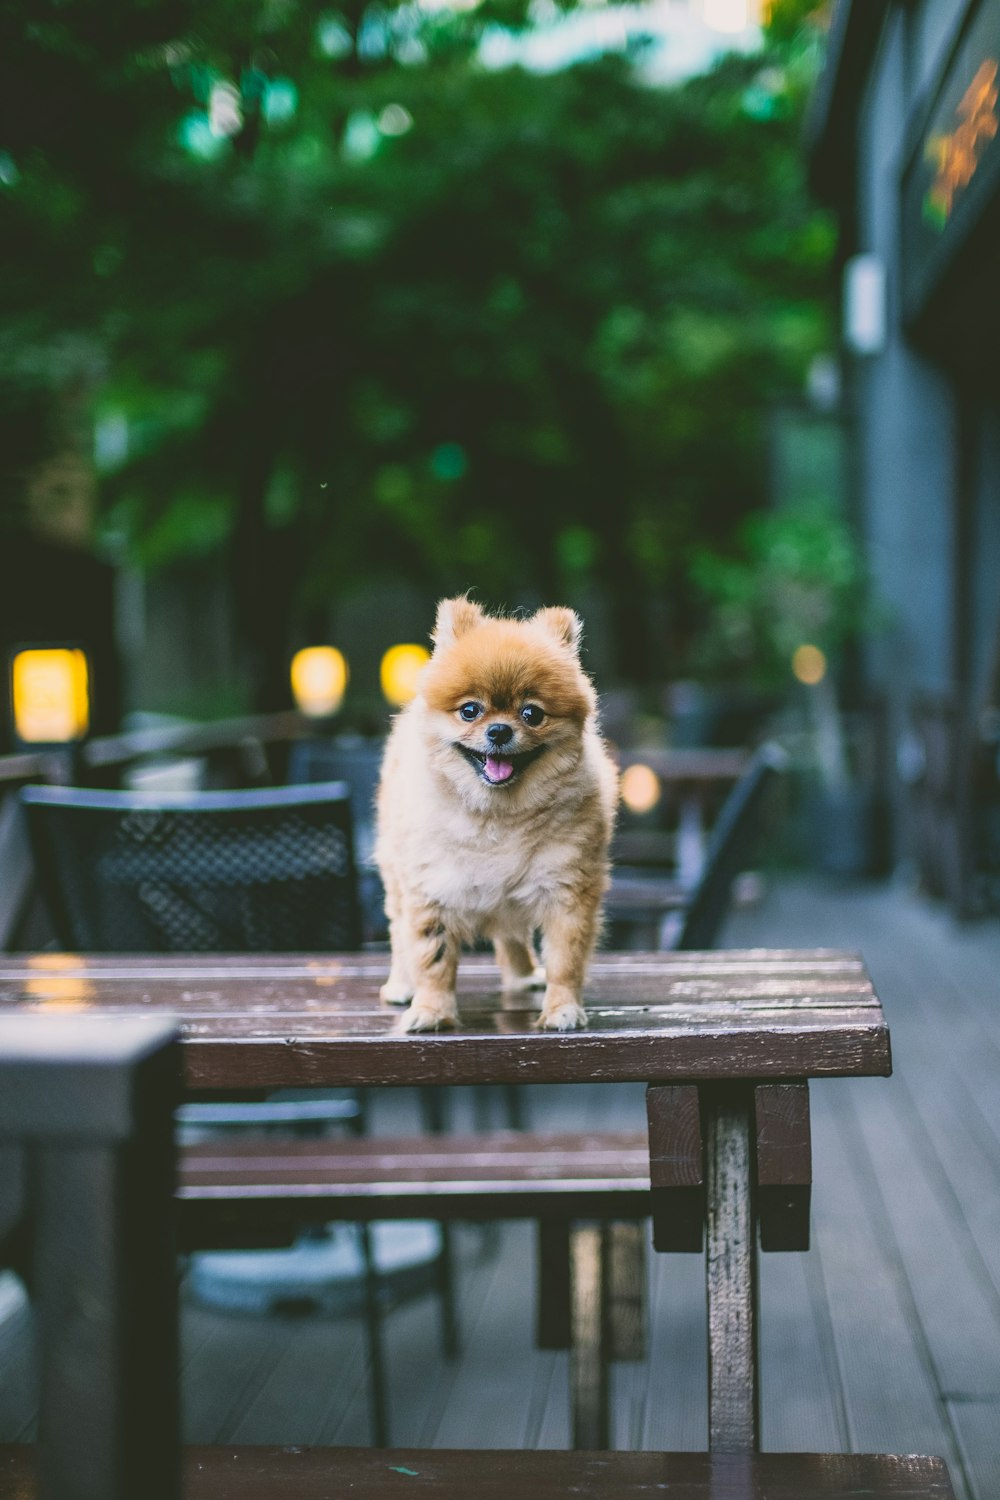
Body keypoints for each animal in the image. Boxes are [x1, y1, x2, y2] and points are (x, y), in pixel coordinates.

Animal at [373, 594, 617, 1032]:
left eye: (532, 714)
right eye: (470, 710)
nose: (499, 731)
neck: (498, 817)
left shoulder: (567, 891)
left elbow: (565, 961)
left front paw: (562, 1008)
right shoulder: (430, 890)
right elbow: (432, 959)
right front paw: (431, 1010)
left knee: (511, 937)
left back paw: (523, 975)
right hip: (397, 876)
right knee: (399, 933)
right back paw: (401, 985)